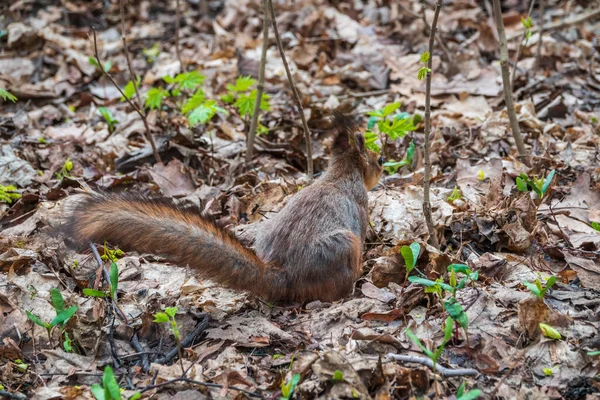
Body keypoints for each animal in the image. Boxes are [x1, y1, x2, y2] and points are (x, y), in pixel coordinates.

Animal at [67, 111, 384, 302]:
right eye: (378, 159)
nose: (384, 164)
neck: (339, 174)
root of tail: (284, 276)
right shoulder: (360, 206)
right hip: (344, 245)